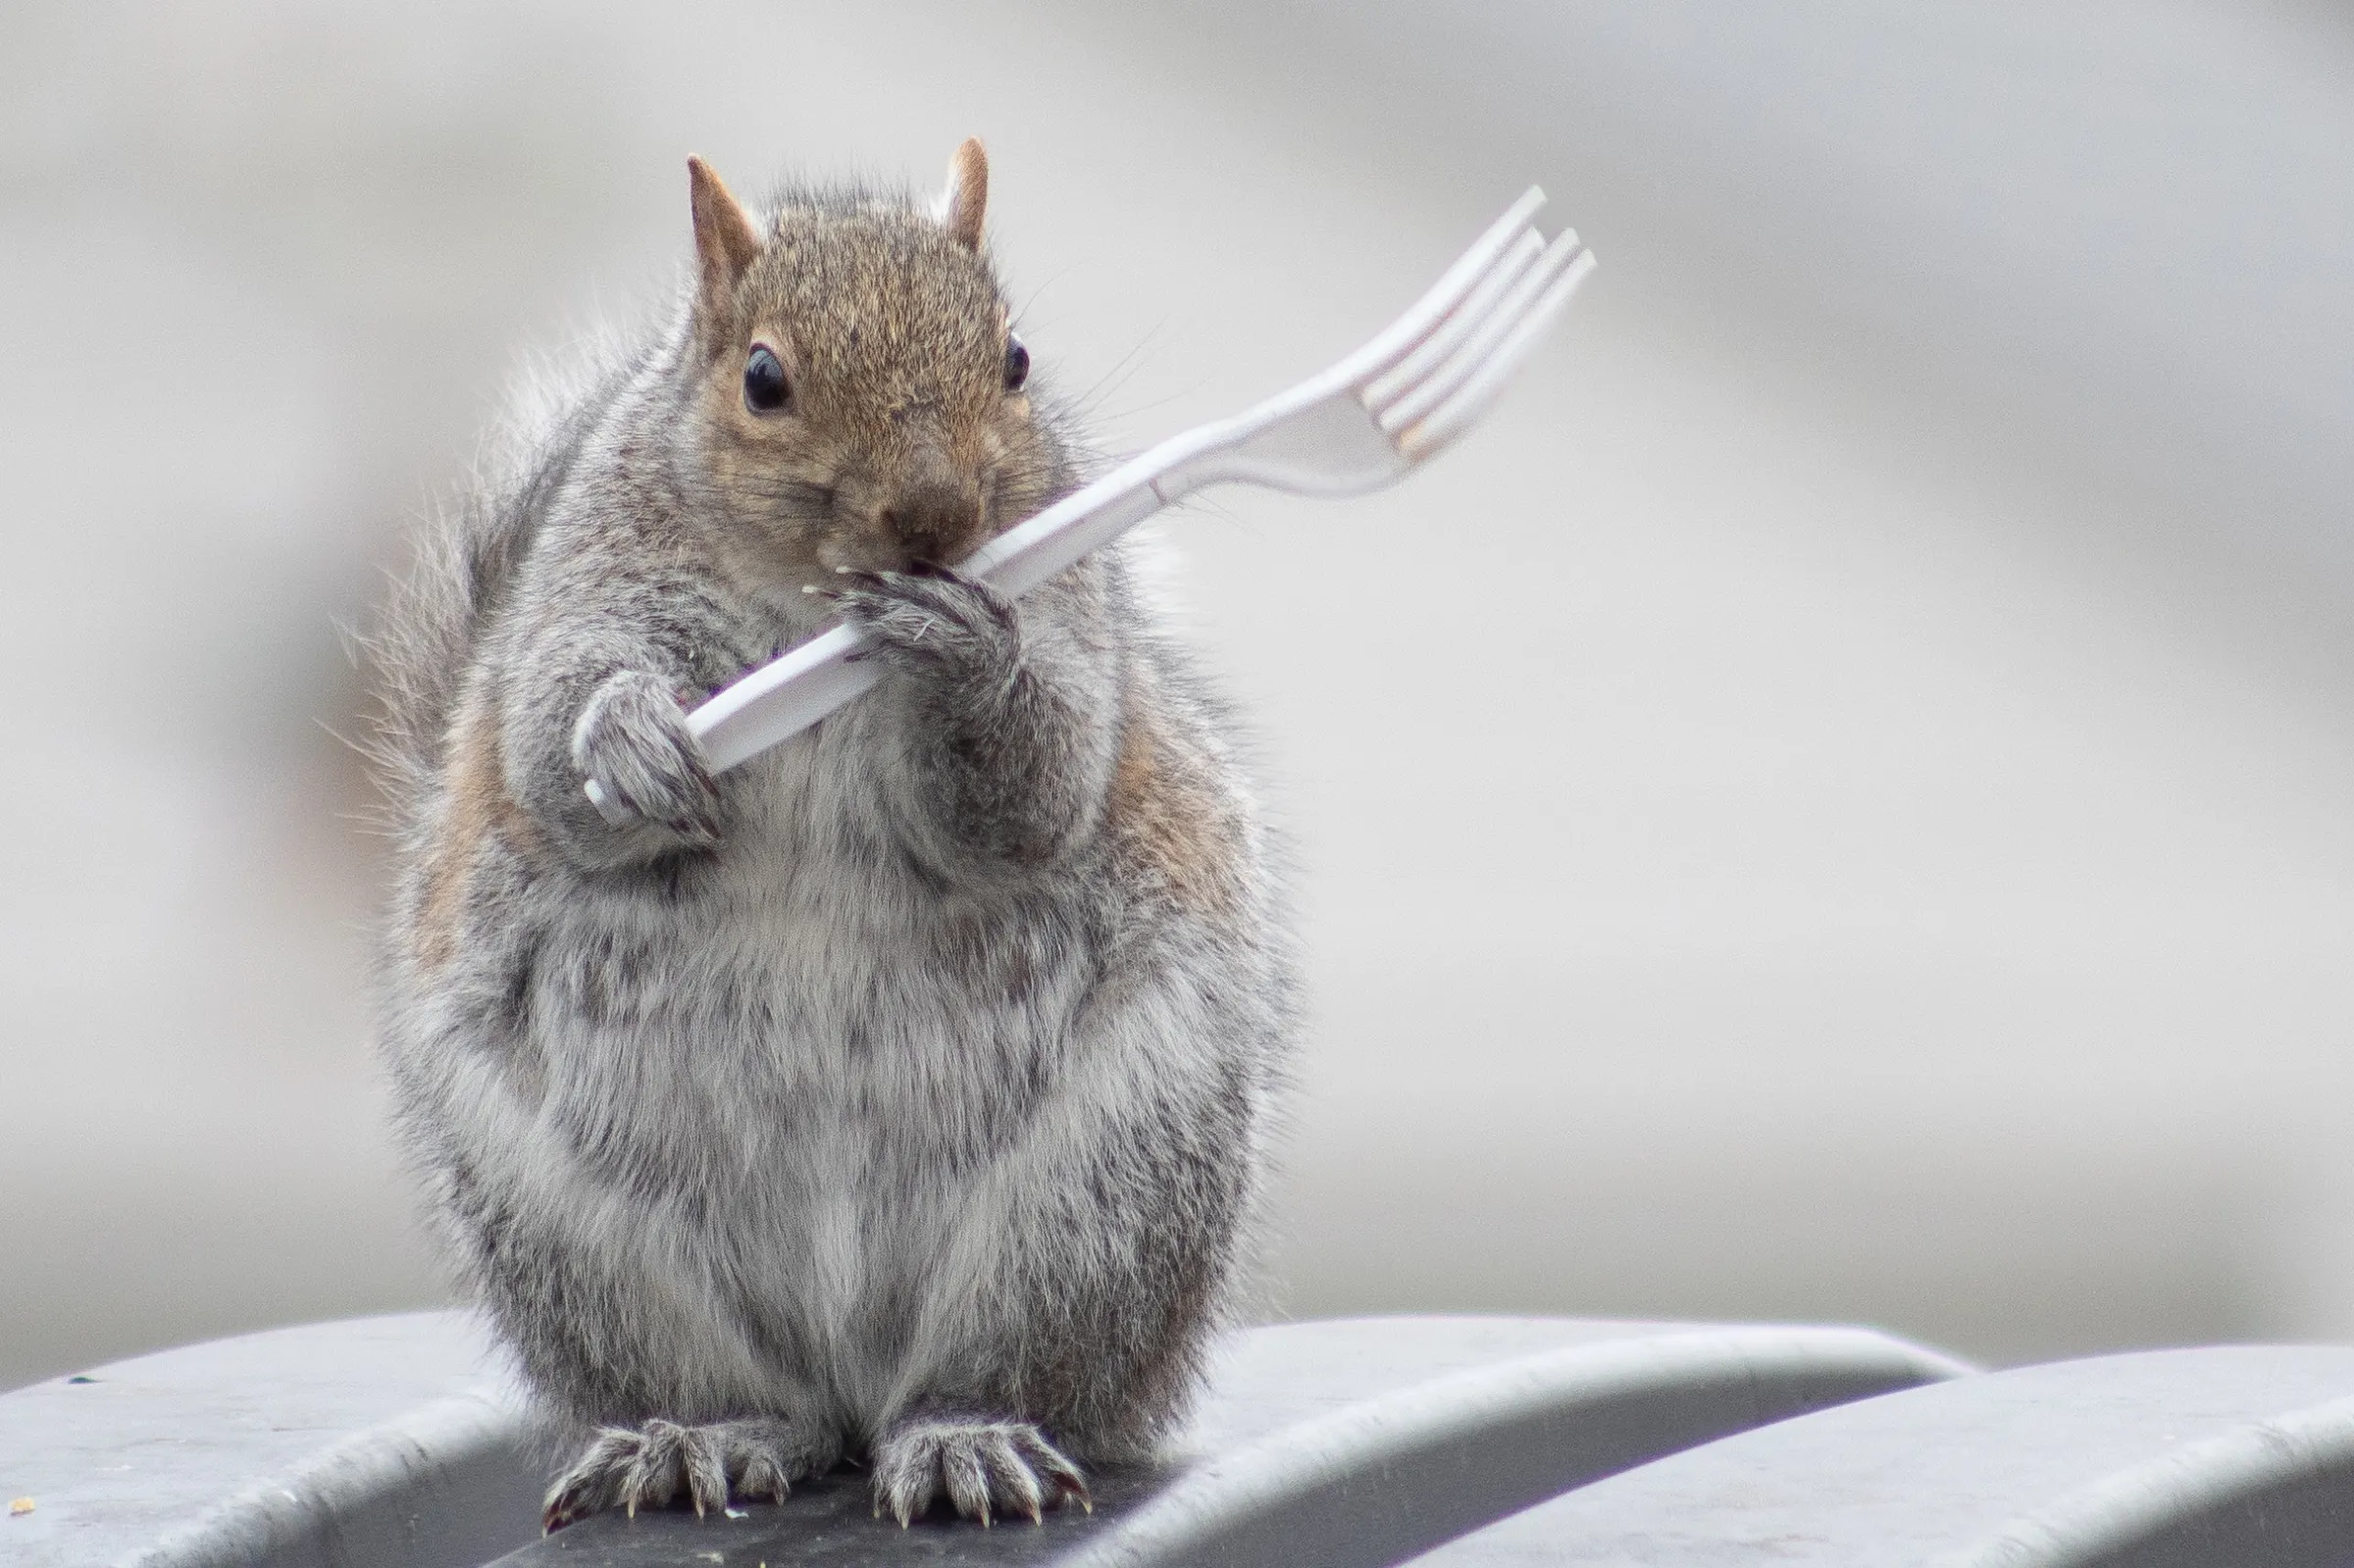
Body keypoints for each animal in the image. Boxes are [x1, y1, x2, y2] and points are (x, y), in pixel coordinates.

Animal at [367, 138, 1297, 1530]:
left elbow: (1040, 786)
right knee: (759, 1402)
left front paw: (962, 648)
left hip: (1105, 1198)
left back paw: (965, 1437)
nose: (935, 516)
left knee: (996, 1376)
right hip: (583, 1243)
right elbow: (544, 748)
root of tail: (851, 1371)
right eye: (763, 378)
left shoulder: (1068, 614)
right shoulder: (582, 588)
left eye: (1015, 358)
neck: (819, 608)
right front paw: (625, 735)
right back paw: (702, 1436)